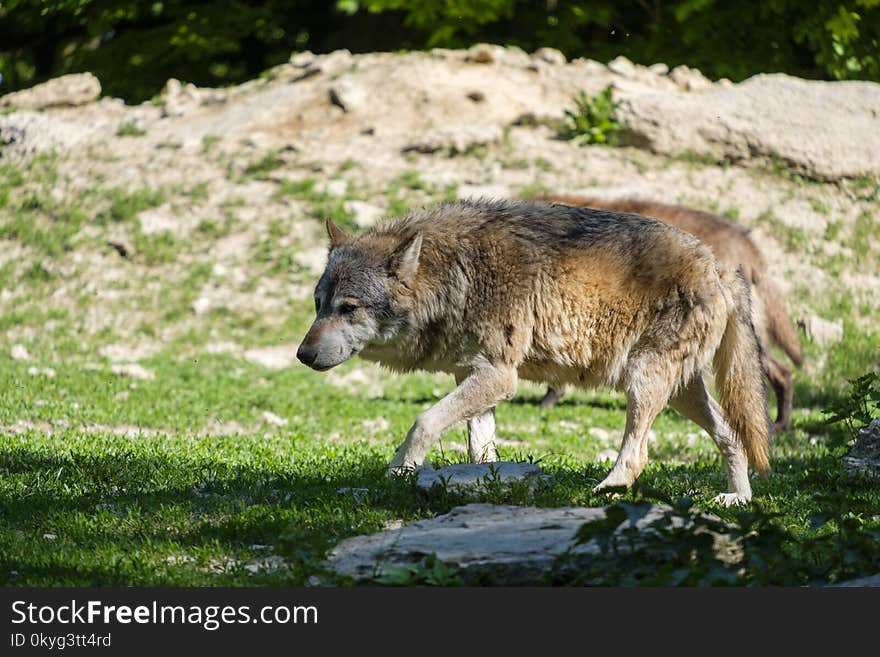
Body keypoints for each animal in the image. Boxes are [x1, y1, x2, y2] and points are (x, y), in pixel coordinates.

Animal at [298, 197, 768, 504]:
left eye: (349, 307)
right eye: (319, 304)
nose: (302, 355)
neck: (457, 275)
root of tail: (718, 267)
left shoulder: (500, 376)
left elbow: (423, 422)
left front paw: (400, 472)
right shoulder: (476, 377)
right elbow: (480, 449)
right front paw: (483, 485)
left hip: (642, 380)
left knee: (639, 453)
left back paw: (608, 487)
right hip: (680, 393)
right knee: (731, 436)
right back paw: (737, 498)